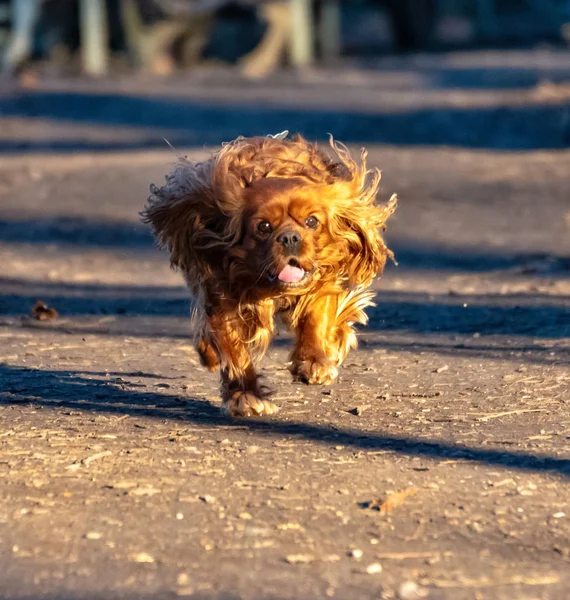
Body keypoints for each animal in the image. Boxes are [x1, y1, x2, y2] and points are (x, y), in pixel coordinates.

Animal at [142, 135, 394, 418]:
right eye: (263, 227)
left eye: (311, 222)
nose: (289, 237)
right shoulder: (223, 299)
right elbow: (235, 353)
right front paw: (245, 395)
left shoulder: (320, 282)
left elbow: (316, 320)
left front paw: (314, 362)